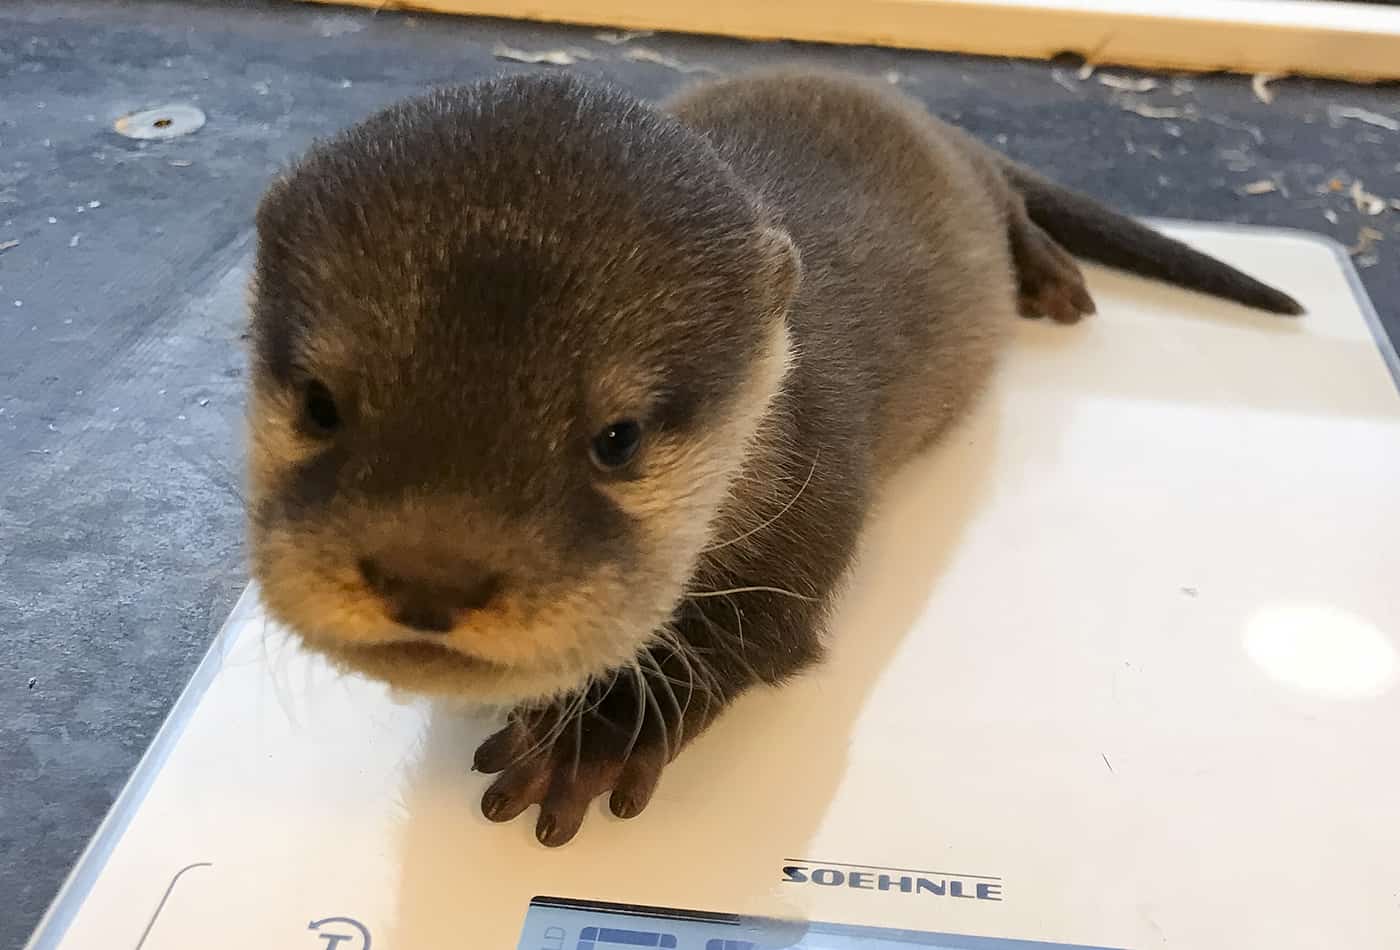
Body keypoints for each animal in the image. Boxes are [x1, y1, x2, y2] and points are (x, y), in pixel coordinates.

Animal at [243, 72, 1299, 845]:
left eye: (618, 438)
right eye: (321, 403)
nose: (429, 574)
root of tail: (906, 103)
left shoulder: (818, 491)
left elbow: (754, 631)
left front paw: (594, 735)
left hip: (977, 187)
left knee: (1012, 206)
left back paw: (1050, 277)